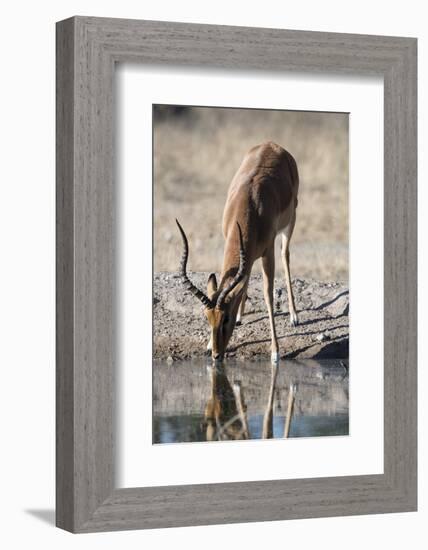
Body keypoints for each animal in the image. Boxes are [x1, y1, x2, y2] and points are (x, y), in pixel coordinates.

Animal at [176, 142, 300, 364]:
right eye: (207, 317)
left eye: (226, 318)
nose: (217, 356)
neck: (249, 205)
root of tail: (272, 144)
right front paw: (209, 344)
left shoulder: (268, 251)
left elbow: (268, 295)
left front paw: (275, 352)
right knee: (246, 276)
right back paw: (242, 316)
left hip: (290, 223)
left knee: (285, 256)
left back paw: (294, 317)